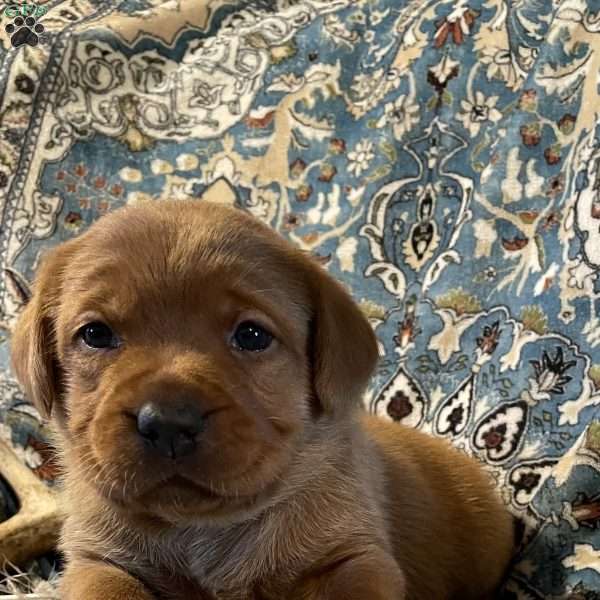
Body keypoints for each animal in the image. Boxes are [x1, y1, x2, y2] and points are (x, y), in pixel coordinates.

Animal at [10, 199, 510, 596]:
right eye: (95, 334)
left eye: (252, 335)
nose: (168, 422)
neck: (204, 528)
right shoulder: (97, 561)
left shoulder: (355, 557)